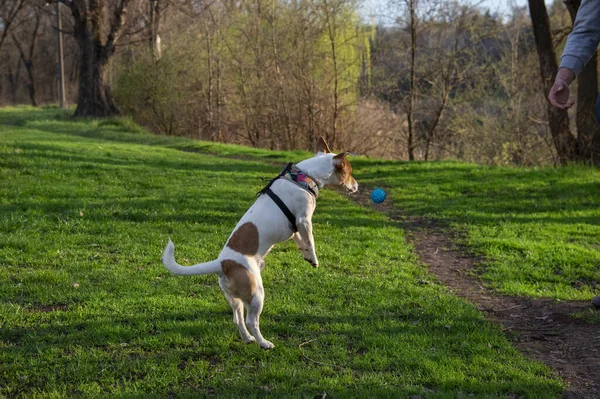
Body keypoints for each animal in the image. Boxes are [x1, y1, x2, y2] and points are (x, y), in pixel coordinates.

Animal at [161, 138, 356, 350]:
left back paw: (247, 338)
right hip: (256, 293)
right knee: (251, 321)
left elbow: (299, 240)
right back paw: (264, 343)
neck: (305, 176)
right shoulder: (304, 220)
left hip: (235, 298)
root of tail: (222, 264)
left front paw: (305, 254)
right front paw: (313, 258)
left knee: (237, 318)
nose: (357, 185)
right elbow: (310, 240)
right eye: (350, 172)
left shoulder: (295, 225)